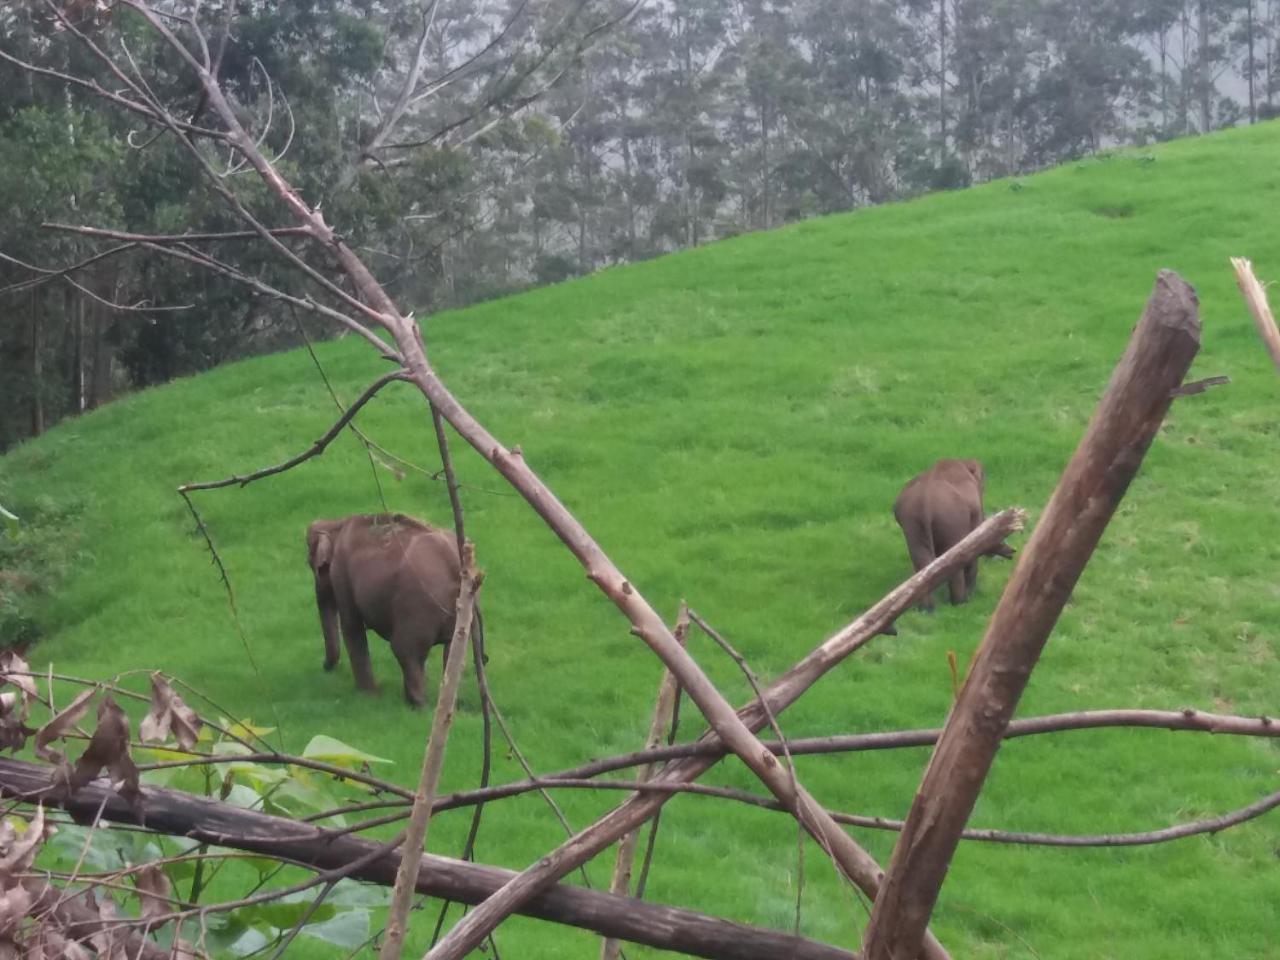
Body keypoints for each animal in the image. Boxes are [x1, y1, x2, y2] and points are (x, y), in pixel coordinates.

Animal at [304, 514, 476, 711]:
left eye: (313, 564)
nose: (325, 667)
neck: (336, 522)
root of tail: (455, 561)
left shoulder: (341, 573)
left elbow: (351, 626)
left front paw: (368, 696)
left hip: (416, 605)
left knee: (405, 649)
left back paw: (418, 705)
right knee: (452, 651)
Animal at [896, 458, 1013, 609]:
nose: (1012, 552)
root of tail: (924, 502)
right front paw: (971, 592)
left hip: (912, 522)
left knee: (920, 559)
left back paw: (926, 609)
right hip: (951, 518)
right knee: (955, 559)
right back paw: (961, 602)